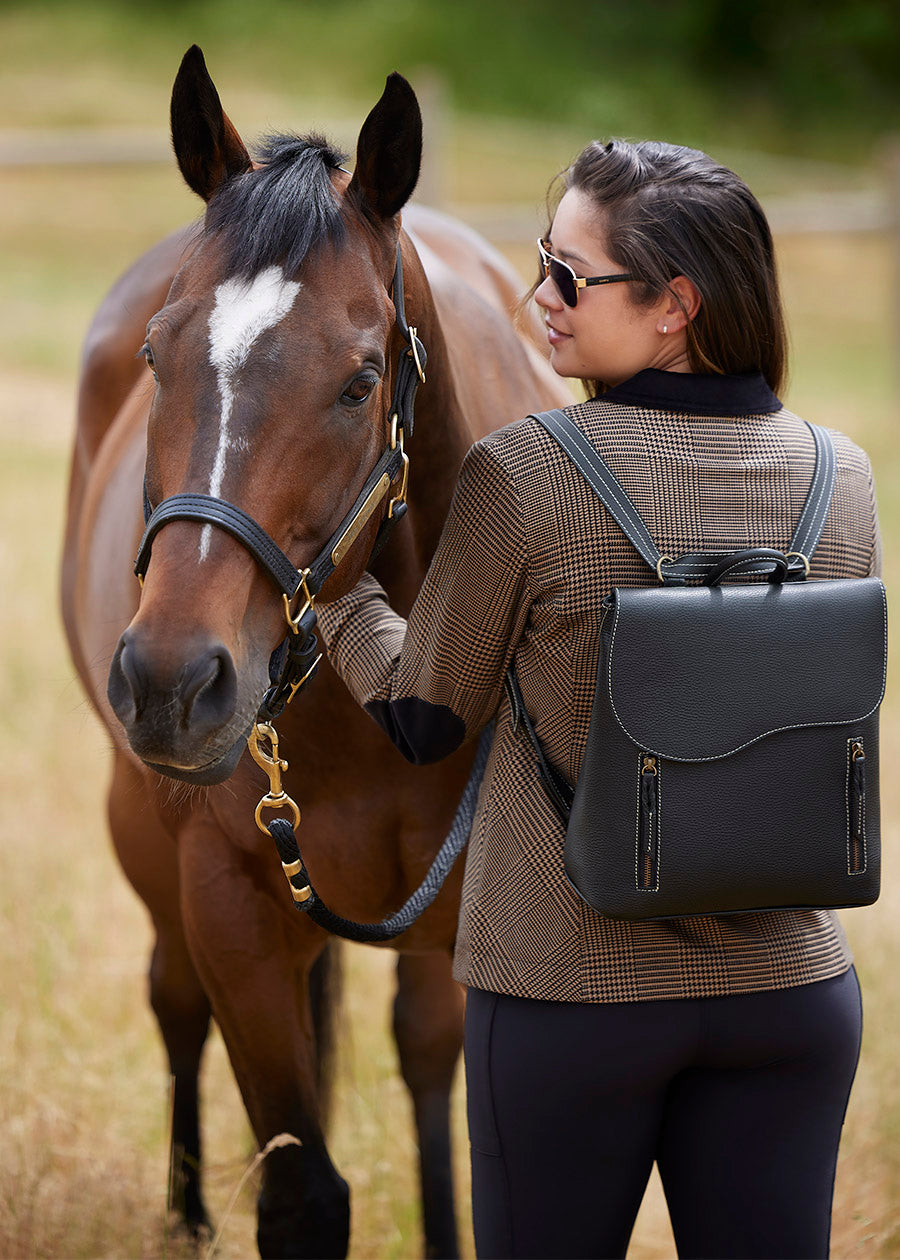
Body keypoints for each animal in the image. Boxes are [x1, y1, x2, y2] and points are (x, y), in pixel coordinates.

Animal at [61, 46, 567, 1260]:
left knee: (424, 1052)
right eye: (157, 356)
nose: (171, 683)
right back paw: (188, 1217)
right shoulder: (231, 908)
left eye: (358, 380)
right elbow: (300, 1190)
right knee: (172, 1000)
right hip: (143, 832)